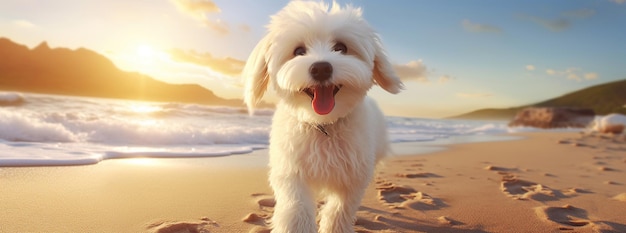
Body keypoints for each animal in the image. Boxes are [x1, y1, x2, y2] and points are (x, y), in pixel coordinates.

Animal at [241, 1, 402, 231]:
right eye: (298, 51)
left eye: (341, 48)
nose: (321, 68)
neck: (323, 123)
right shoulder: (291, 170)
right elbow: (296, 205)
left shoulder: (352, 177)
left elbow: (340, 208)